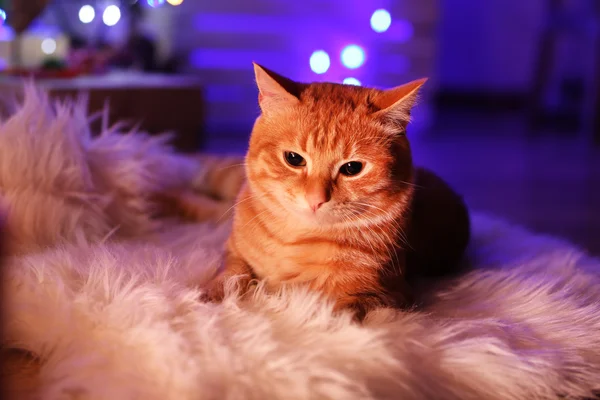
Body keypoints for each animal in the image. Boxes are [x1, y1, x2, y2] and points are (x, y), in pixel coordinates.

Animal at [195, 64, 472, 318]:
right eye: (293, 159)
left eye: (351, 168)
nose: (316, 200)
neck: (293, 240)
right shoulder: (234, 252)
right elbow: (232, 272)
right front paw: (211, 295)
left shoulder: (391, 294)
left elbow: (342, 306)